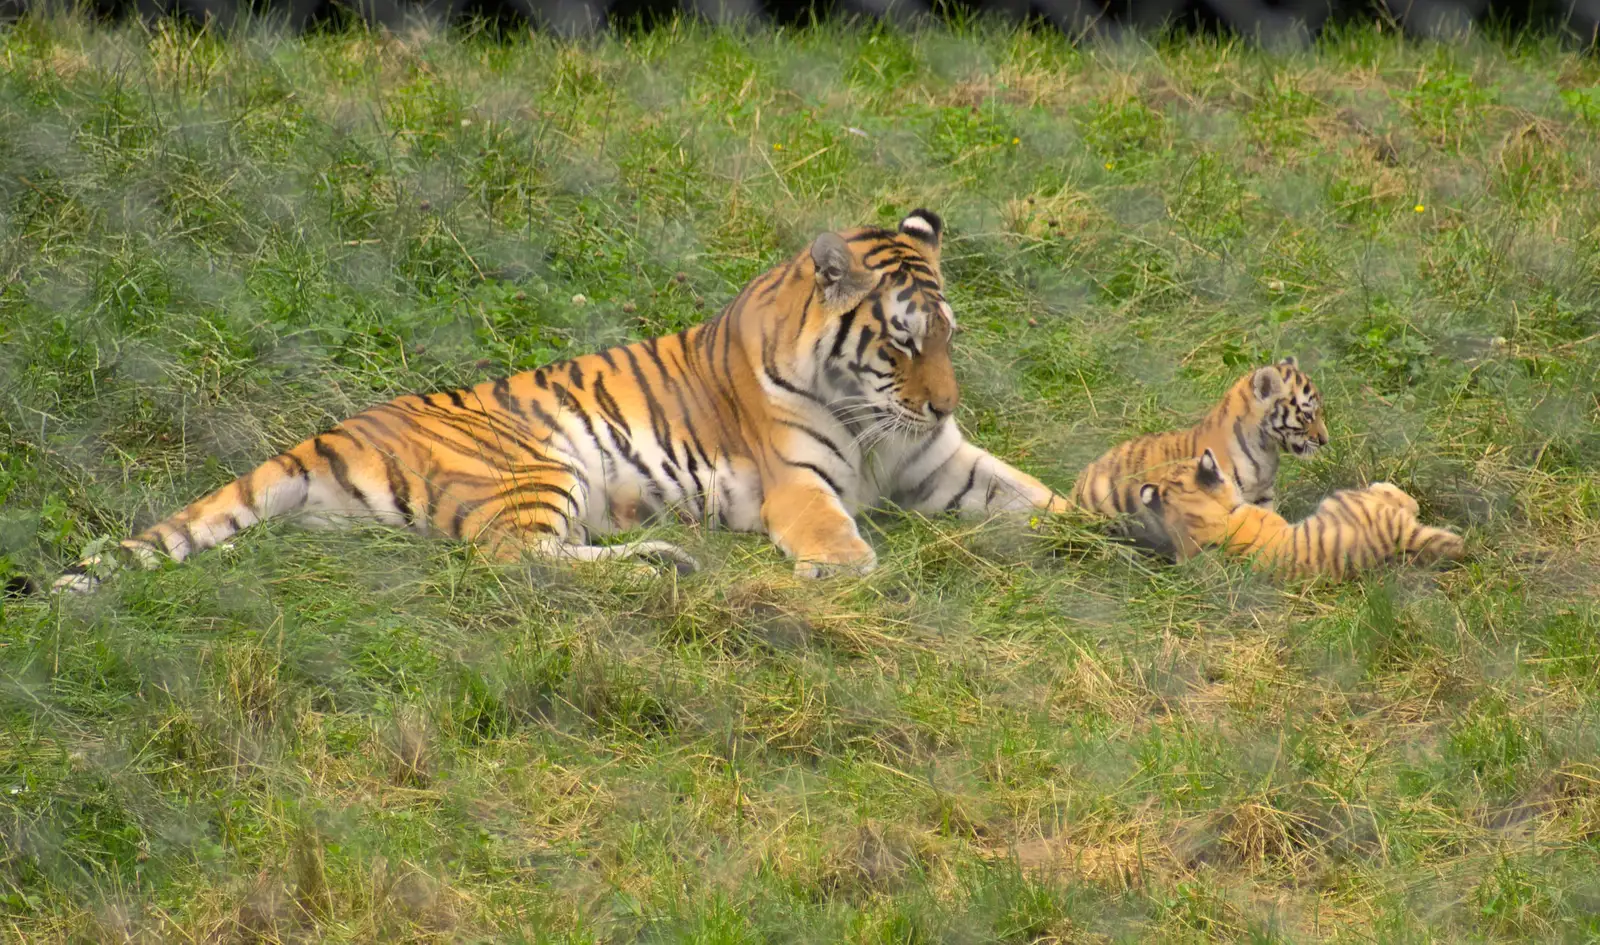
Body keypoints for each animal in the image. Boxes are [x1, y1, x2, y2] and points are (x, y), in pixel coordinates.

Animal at [53, 211, 1075, 594]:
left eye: (947, 337)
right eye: (900, 341)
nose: (942, 404)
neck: (880, 422)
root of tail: (328, 431)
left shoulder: (942, 462)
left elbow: (1034, 493)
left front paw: (1098, 520)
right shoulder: (801, 482)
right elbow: (836, 535)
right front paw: (858, 571)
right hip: (537, 462)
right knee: (519, 562)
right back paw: (661, 564)